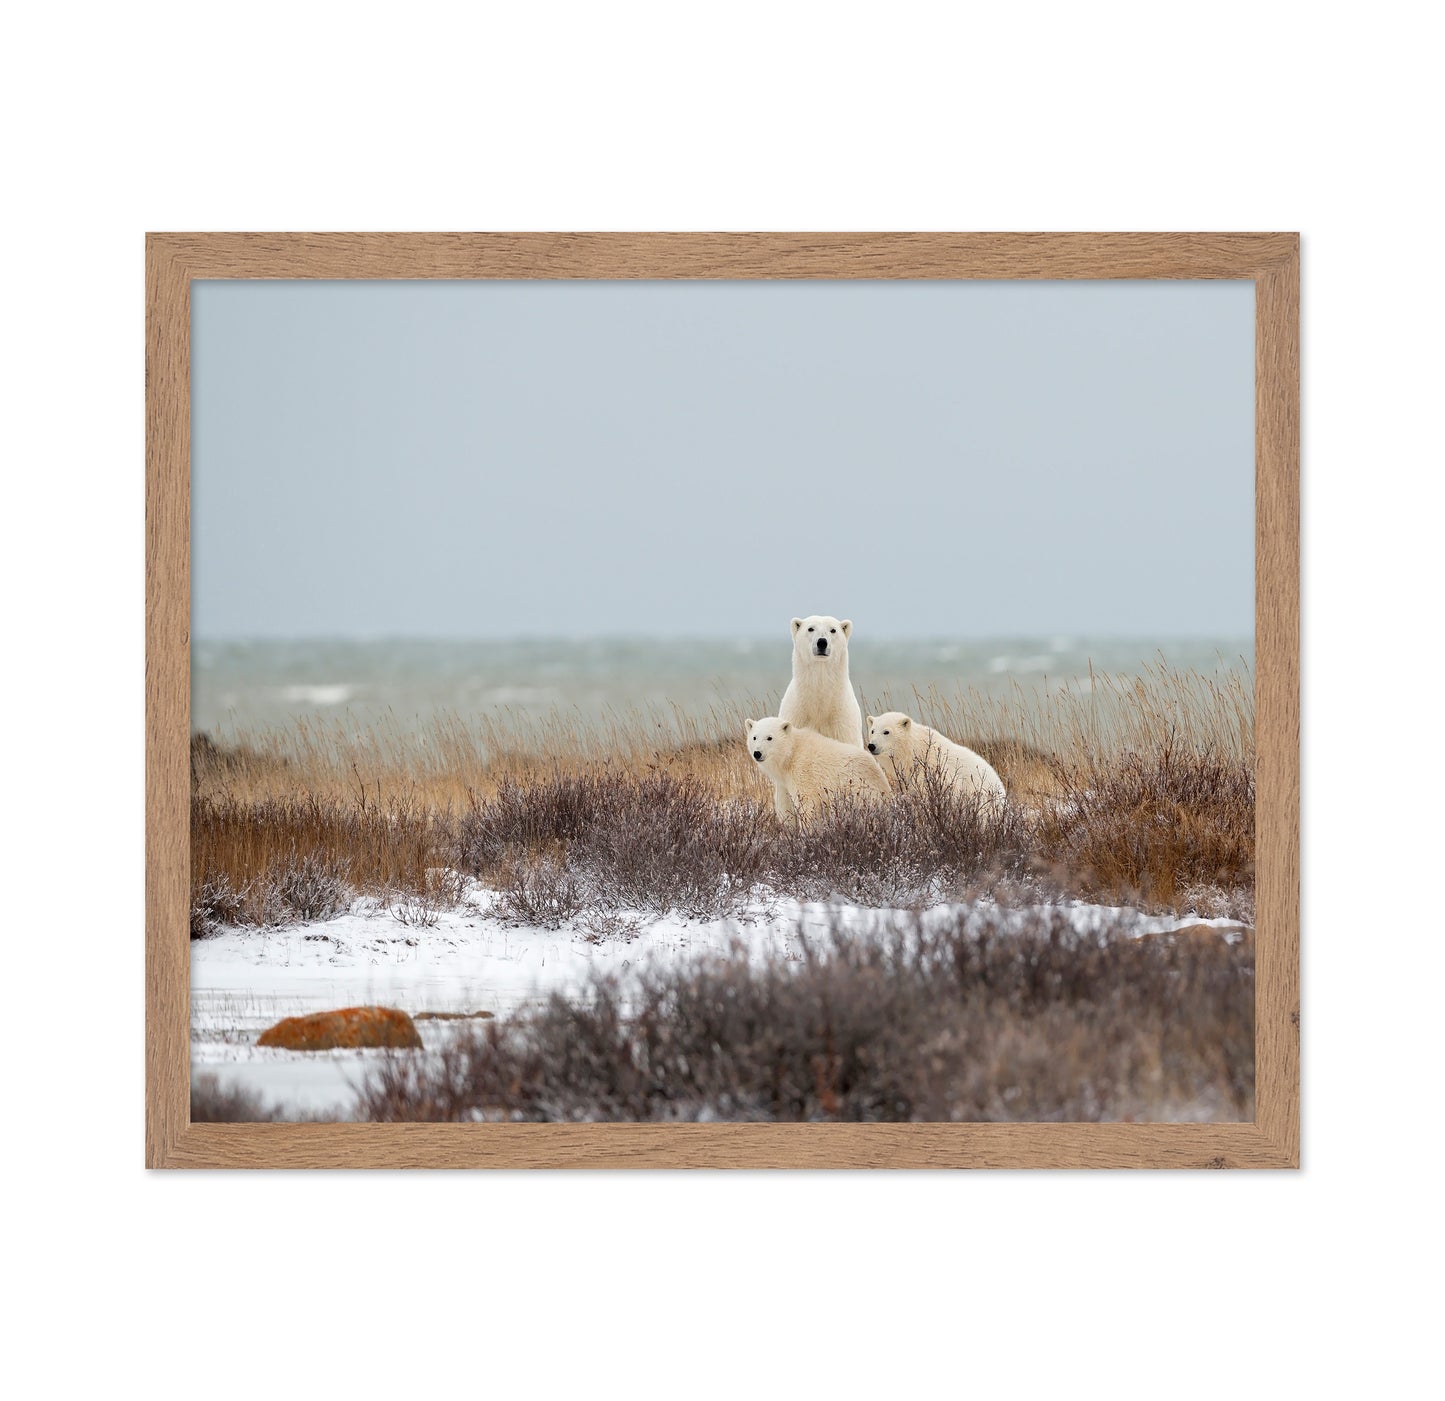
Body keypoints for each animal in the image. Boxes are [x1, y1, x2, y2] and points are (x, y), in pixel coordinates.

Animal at [746, 715, 892, 822]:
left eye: (769, 737)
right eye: (754, 737)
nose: (757, 753)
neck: (792, 753)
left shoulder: (804, 774)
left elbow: (808, 805)